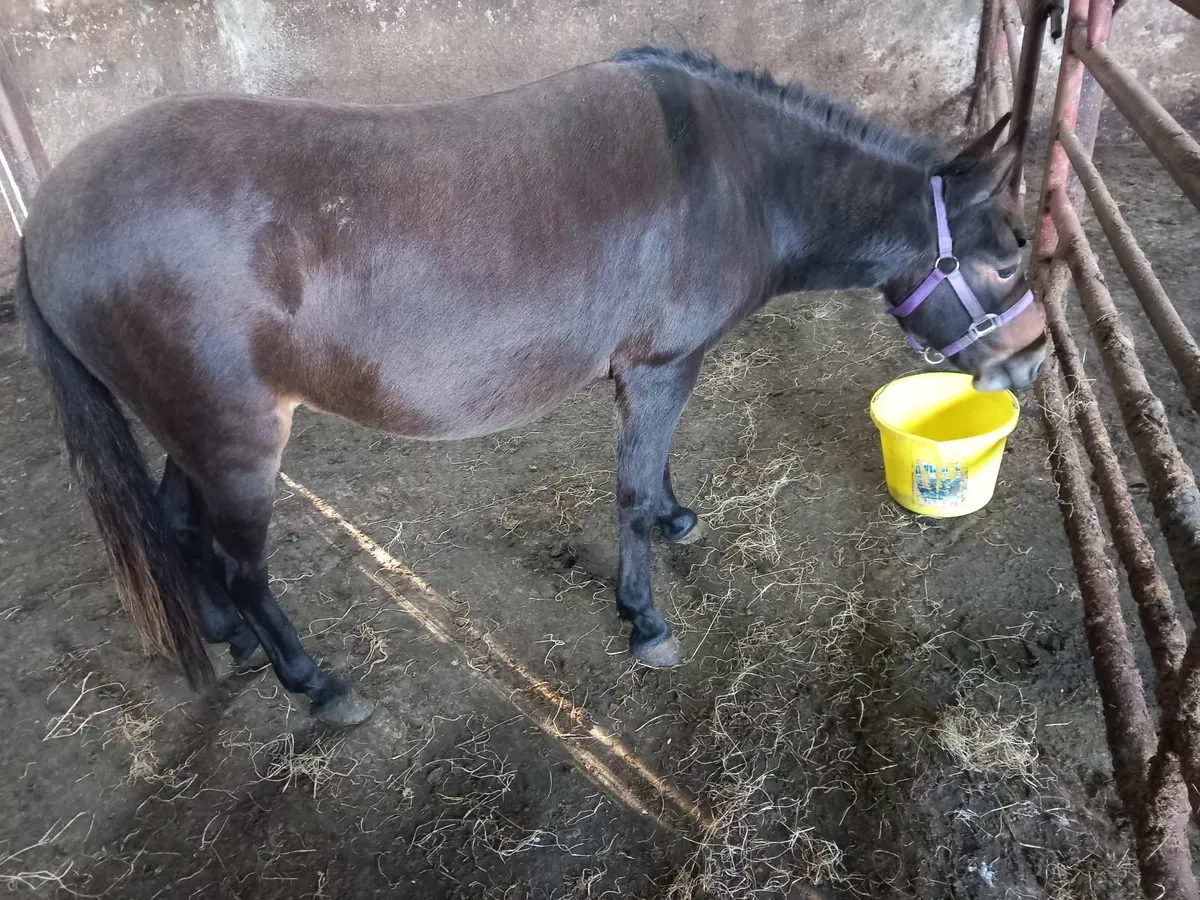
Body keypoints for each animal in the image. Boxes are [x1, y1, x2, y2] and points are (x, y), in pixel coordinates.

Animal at [18, 47, 1047, 726]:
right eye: (1004, 261)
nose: (1034, 359)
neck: (739, 178)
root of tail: (44, 225)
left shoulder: (648, 373)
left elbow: (652, 476)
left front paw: (677, 518)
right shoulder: (663, 366)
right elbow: (627, 491)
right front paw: (644, 621)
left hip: (193, 426)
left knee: (177, 524)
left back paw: (228, 637)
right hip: (236, 437)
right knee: (239, 560)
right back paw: (317, 685)